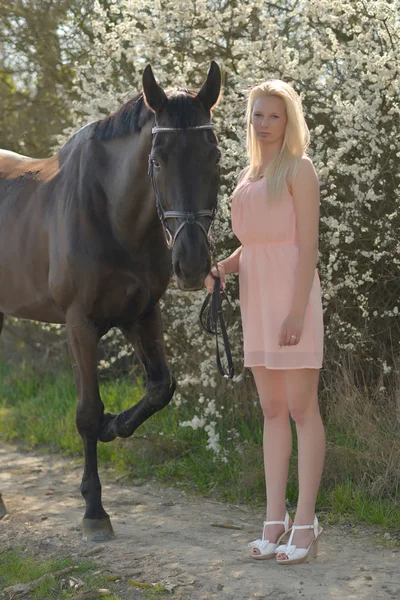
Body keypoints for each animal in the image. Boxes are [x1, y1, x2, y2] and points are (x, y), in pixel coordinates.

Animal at [0, 63, 222, 540]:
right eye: (156, 160)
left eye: (214, 157)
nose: (192, 263)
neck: (112, 216)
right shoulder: (80, 324)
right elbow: (86, 411)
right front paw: (94, 510)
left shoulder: (142, 313)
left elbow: (160, 388)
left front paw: (113, 426)